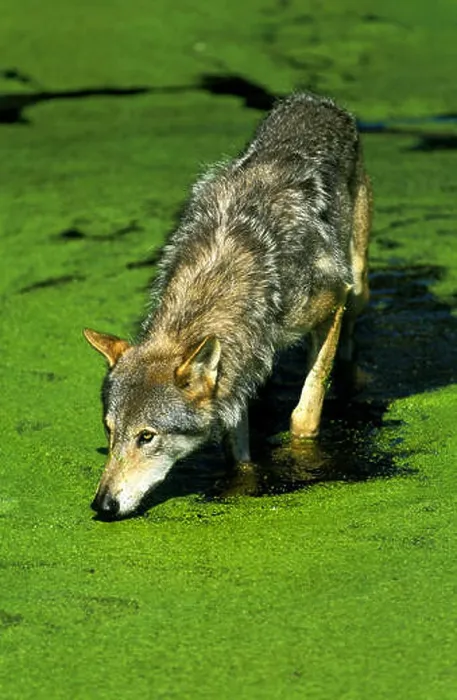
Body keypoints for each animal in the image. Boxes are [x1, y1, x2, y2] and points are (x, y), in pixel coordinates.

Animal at [84, 92, 372, 519]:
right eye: (110, 429)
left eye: (146, 437)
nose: (102, 504)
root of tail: (314, 100)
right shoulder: (238, 364)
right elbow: (237, 447)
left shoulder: (331, 300)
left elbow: (306, 412)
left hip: (358, 284)